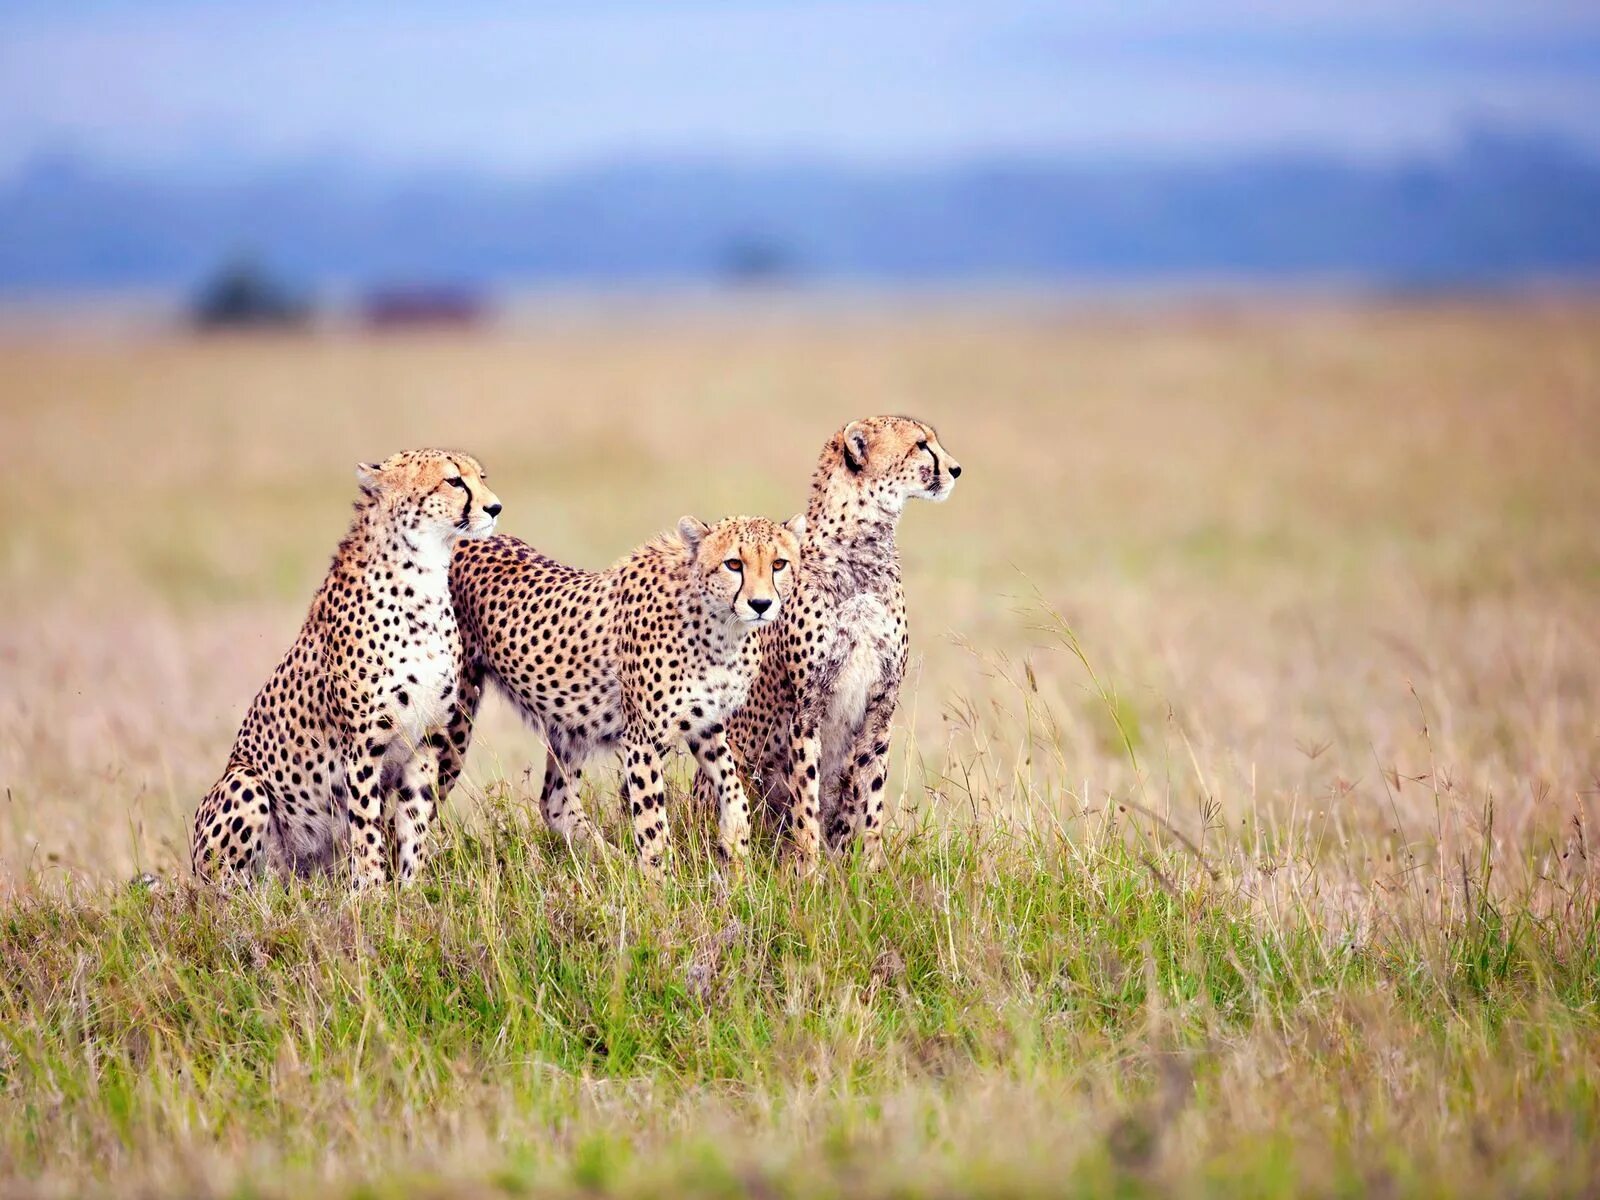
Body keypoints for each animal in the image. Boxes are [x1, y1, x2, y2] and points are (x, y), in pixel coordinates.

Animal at [189, 451, 499, 896]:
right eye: (454, 481)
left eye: (481, 477)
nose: (495, 507)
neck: (422, 580)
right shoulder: (364, 746)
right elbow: (367, 827)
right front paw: (374, 895)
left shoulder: (425, 742)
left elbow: (414, 824)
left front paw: (412, 892)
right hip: (243, 783)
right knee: (226, 891)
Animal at [438, 515, 806, 876]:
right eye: (733, 564)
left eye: (778, 564)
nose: (761, 604)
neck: (720, 628)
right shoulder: (643, 739)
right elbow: (653, 823)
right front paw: (660, 884)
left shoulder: (706, 723)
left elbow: (733, 787)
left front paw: (735, 847)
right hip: (455, 717)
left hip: (569, 724)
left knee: (556, 802)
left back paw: (614, 863)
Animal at [713, 419, 960, 870]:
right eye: (921, 445)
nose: (956, 469)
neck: (863, 548)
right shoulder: (806, 708)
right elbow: (805, 798)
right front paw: (809, 870)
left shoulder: (881, 705)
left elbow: (871, 796)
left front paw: (871, 869)